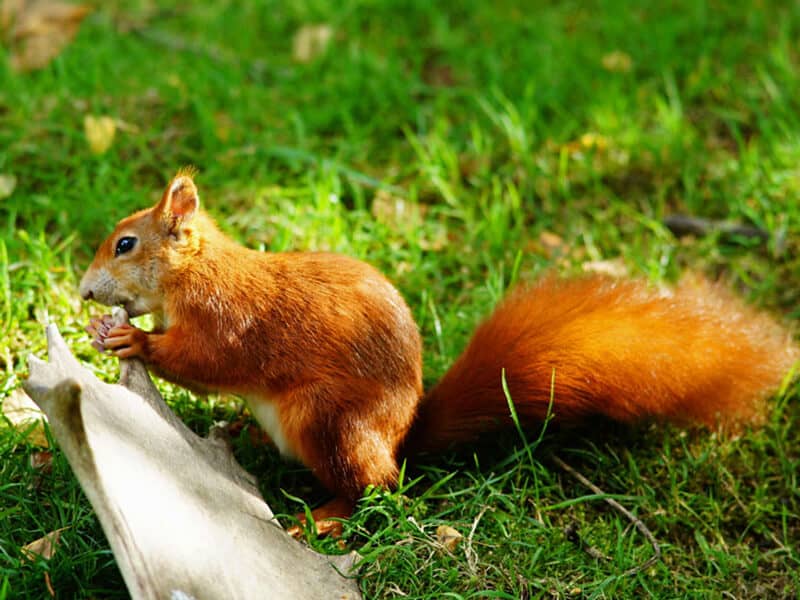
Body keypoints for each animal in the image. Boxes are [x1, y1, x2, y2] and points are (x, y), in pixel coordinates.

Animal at [80, 170, 798, 537]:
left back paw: (325, 517)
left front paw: (131, 338)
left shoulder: (230, 323)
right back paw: (251, 441)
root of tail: (403, 433)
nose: (85, 290)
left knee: (380, 488)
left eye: (124, 244)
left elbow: (203, 364)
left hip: (330, 422)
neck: (197, 274)